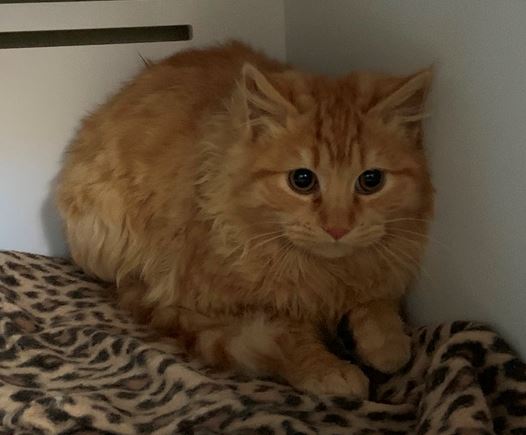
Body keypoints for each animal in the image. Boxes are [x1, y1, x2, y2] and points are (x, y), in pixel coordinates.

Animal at [56, 41, 434, 398]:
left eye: (371, 181)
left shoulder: (381, 268)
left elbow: (377, 301)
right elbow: (288, 339)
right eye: (302, 180)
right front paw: (329, 370)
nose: (337, 228)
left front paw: (387, 344)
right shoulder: (206, 306)